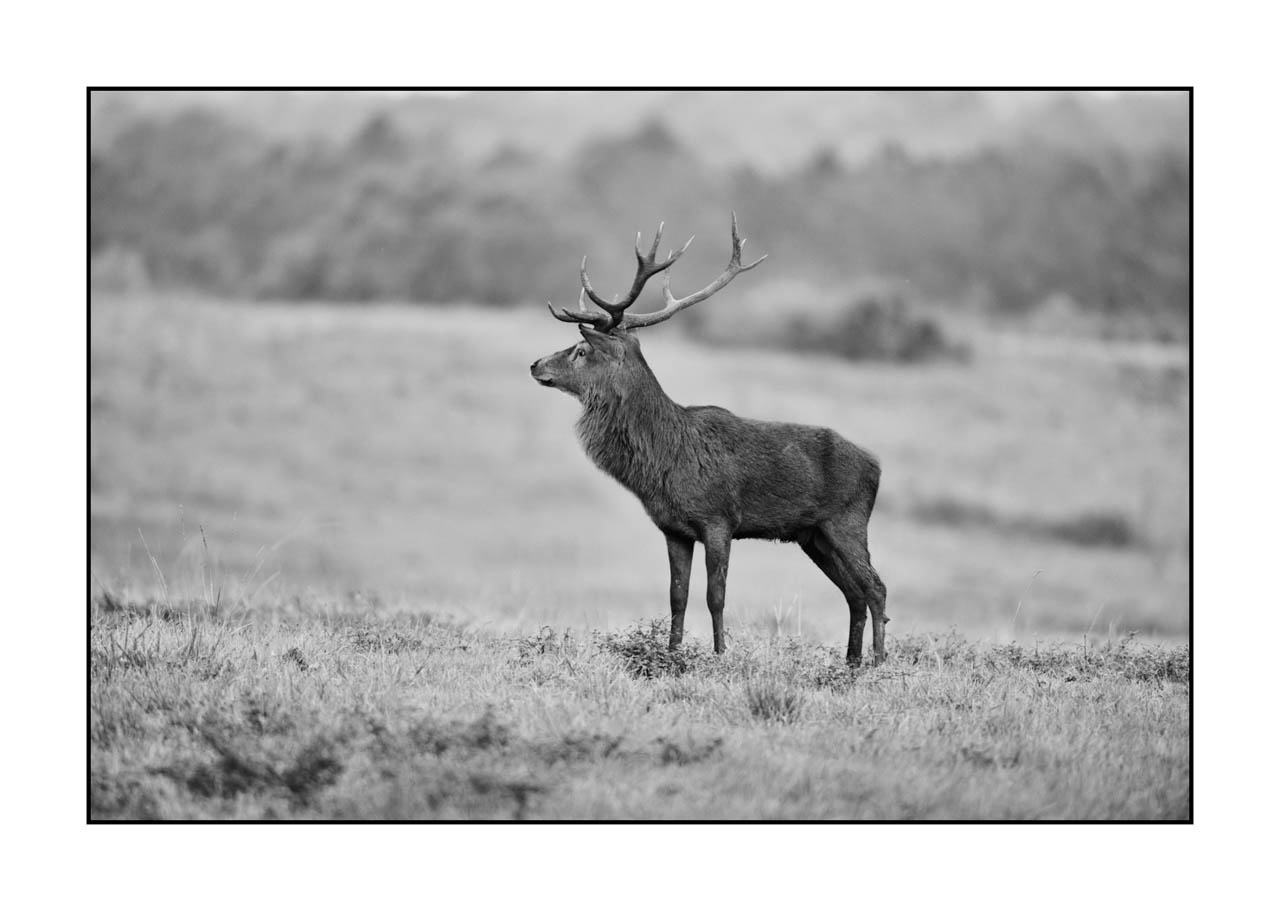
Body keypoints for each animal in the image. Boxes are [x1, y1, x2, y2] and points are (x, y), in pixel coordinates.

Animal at [530, 215, 888, 666]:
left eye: (580, 350)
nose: (535, 364)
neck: (665, 461)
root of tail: (877, 465)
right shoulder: (673, 528)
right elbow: (677, 596)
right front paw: (672, 654)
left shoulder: (719, 520)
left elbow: (715, 595)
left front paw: (719, 655)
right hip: (814, 535)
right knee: (854, 593)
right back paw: (851, 662)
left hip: (847, 521)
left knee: (875, 587)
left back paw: (879, 661)